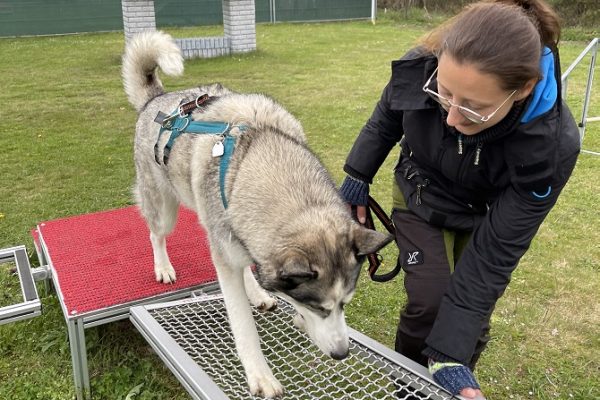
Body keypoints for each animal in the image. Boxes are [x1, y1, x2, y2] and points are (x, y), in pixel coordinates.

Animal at [122, 32, 394, 396]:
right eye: (318, 307)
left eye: (344, 305)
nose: (341, 354)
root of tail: (158, 99)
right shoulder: (227, 257)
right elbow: (243, 325)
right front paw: (260, 375)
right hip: (165, 209)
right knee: (156, 233)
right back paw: (163, 266)